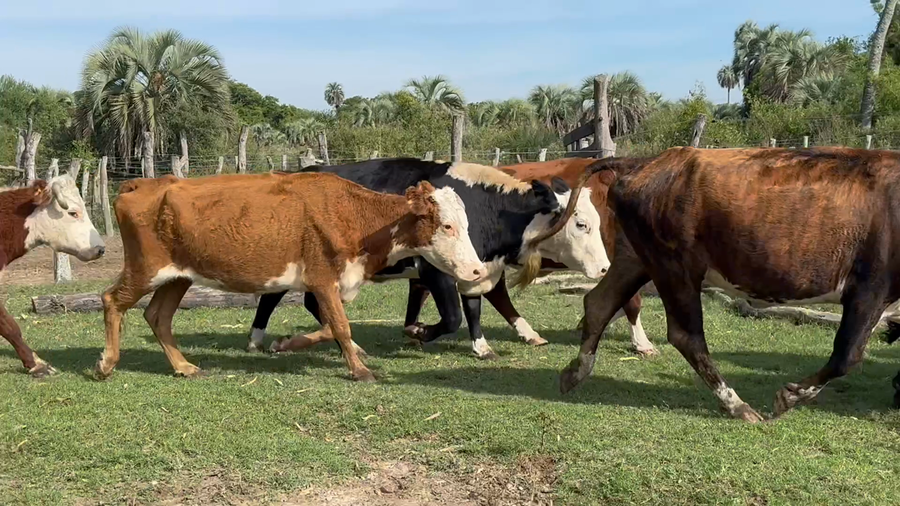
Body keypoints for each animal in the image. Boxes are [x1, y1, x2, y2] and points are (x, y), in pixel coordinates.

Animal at [92, 172, 487, 382]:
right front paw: (359, 370)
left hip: (178, 277)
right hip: (145, 270)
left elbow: (331, 326)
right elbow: (340, 325)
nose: (477, 270)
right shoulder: (323, 279)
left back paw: (183, 366)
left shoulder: (325, 284)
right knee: (112, 300)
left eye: (467, 224)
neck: (353, 214)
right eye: (447, 226)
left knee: (157, 316)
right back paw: (106, 363)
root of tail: (146, 184)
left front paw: (285, 344)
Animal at [247, 158, 605, 359]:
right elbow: (453, 317)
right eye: (581, 224)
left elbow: (479, 307)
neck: (482, 207)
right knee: (276, 299)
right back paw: (258, 341)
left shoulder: (477, 268)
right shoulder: (436, 272)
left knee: (300, 300)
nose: (604, 267)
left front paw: (488, 345)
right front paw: (418, 333)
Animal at [560, 146, 900, 422]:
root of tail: (646, 161)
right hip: (675, 267)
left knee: (599, 303)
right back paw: (737, 405)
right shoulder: (869, 290)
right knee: (687, 336)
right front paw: (787, 397)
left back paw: (575, 372)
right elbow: (847, 356)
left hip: (638, 259)